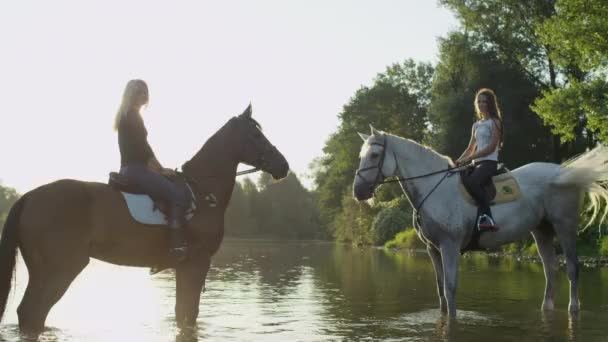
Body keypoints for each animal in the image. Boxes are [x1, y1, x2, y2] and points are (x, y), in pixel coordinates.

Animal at [0, 105, 288, 334]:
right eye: (256, 135)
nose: (283, 165)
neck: (203, 192)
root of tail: (29, 196)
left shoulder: (185, 267)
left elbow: (182, 312)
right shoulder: (196, 263)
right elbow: (188, 315)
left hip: (42, 269)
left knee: (28, 313)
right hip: (61, 268)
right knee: (33, 313)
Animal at [352, 127, 608, 316]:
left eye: (374, 155)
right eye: (361, 156)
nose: (358, 191)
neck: (435, 188)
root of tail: (563, 173)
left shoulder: (449, 246)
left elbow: (450, 288)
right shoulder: (432, 248)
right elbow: (440, 290)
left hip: (564, 226)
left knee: (572, 268)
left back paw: (573, 309)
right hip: (541, 230)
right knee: (550, 269)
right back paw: (546, 309)